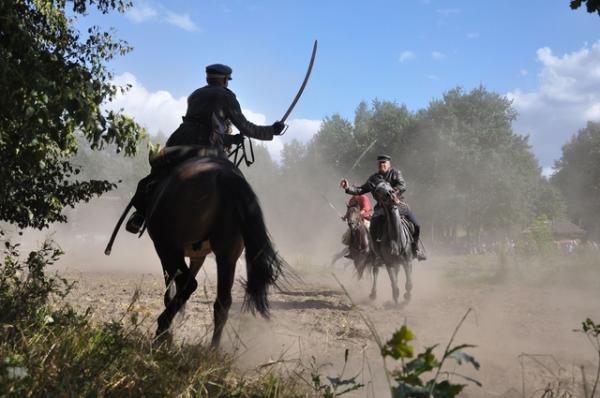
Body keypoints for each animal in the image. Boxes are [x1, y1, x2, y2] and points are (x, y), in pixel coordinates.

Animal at [144, 155, 288, 346]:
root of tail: (225, 175)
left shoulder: (167, 251)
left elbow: (170, 290)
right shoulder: (198, 257)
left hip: (169, 248)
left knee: (189, 285)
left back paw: (162, 330)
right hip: (227, 256)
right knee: (222, 302)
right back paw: (212, 348)